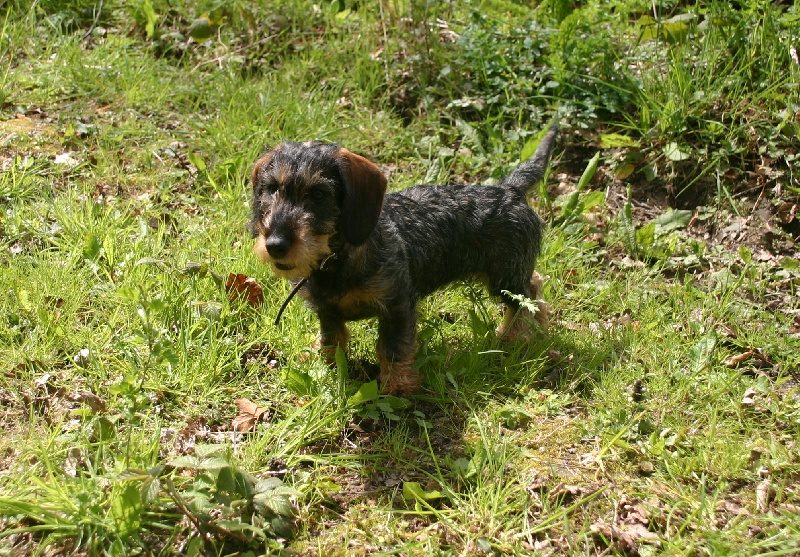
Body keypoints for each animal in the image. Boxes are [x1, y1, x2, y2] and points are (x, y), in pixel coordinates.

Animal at [248, 125, 556, 396]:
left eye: (318, 194)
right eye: (271, 188)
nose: (275, 245)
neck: (338, 261)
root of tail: (509, 190)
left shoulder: (396, 305)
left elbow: (393, 348)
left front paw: (396, 385)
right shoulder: (328, 312)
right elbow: (332, 340)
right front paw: (328, 366)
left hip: (504, 277)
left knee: (523, 300)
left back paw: (514, 336)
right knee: (534, 284)